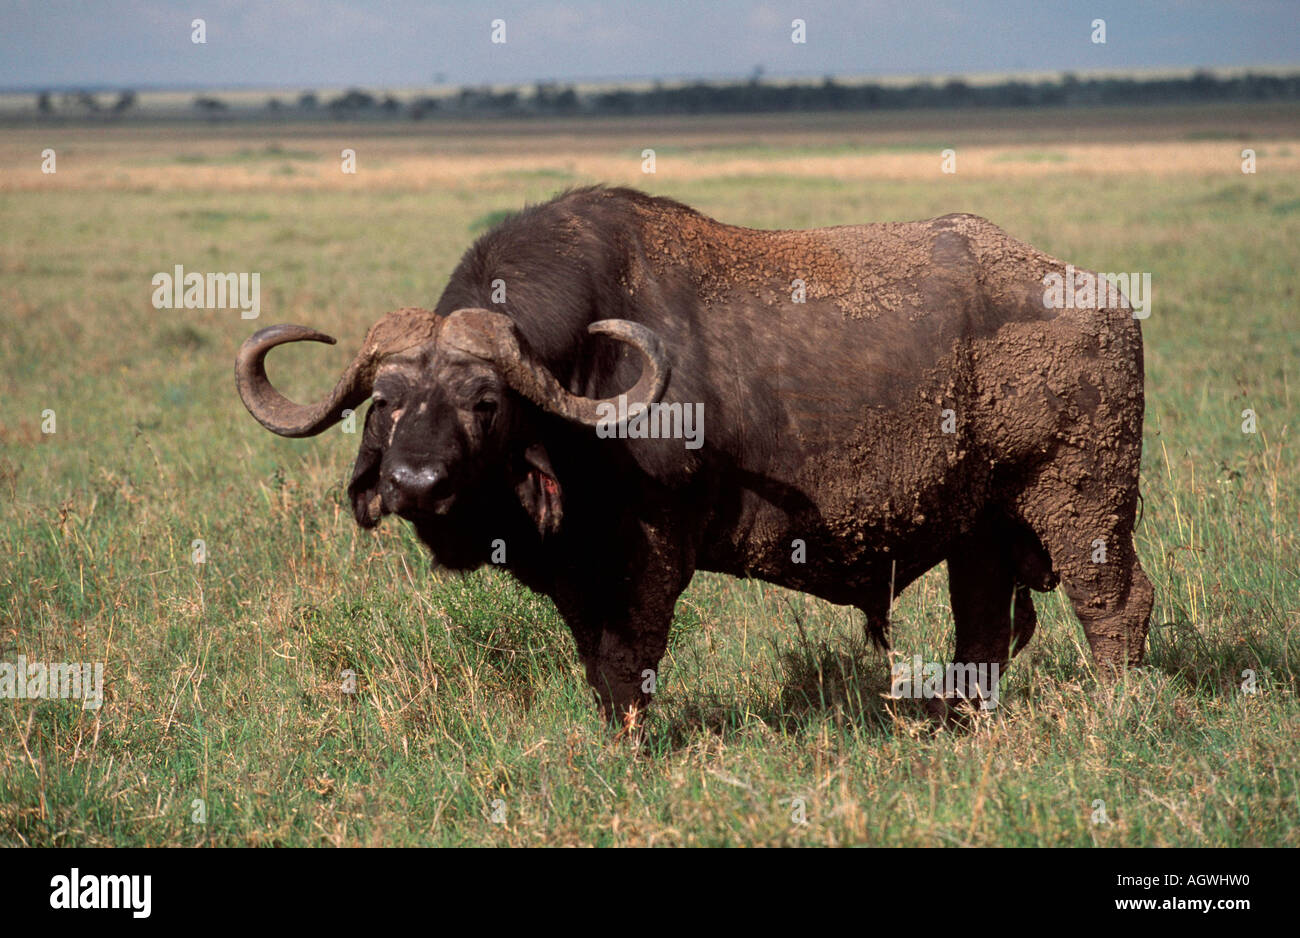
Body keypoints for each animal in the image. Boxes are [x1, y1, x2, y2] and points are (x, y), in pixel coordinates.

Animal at [239, 183, 1154, 722]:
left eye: (485, 404)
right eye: (387, 403)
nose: (414, 482)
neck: (584, 380)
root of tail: (1104, 301)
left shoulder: (650, 554)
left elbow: (630, 657)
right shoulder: (577, 570)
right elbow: (596, 659)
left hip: (1083, 505)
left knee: (1117, 605)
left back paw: (1113, 711)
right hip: (983, 529)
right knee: (984, 631)